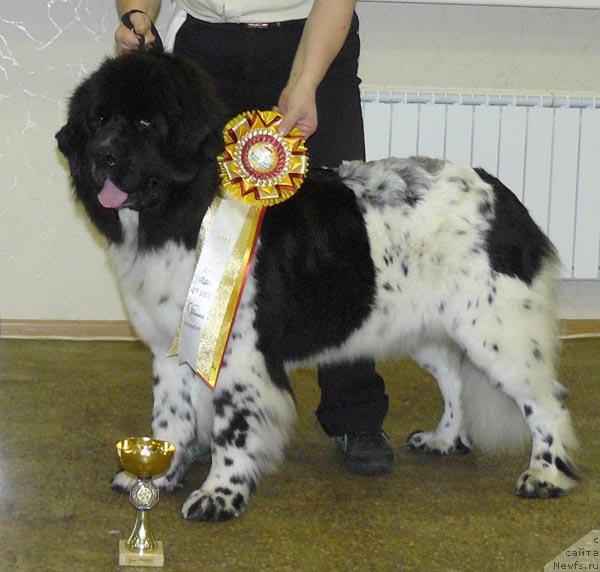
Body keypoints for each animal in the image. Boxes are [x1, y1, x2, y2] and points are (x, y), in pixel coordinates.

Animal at [55, 51, 576, 520]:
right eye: (97, 119)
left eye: (146, 122)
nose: (102, 155)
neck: (190, 209)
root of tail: (502, 195)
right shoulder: (173, 344)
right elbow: (171, 417)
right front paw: (156, 475)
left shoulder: (238, 351)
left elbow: (231, 429)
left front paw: (219, 495)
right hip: (427, 325)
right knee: (454, 379)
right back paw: (445, 439)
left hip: (496, 330)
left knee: (547, 399)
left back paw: (547, 474)